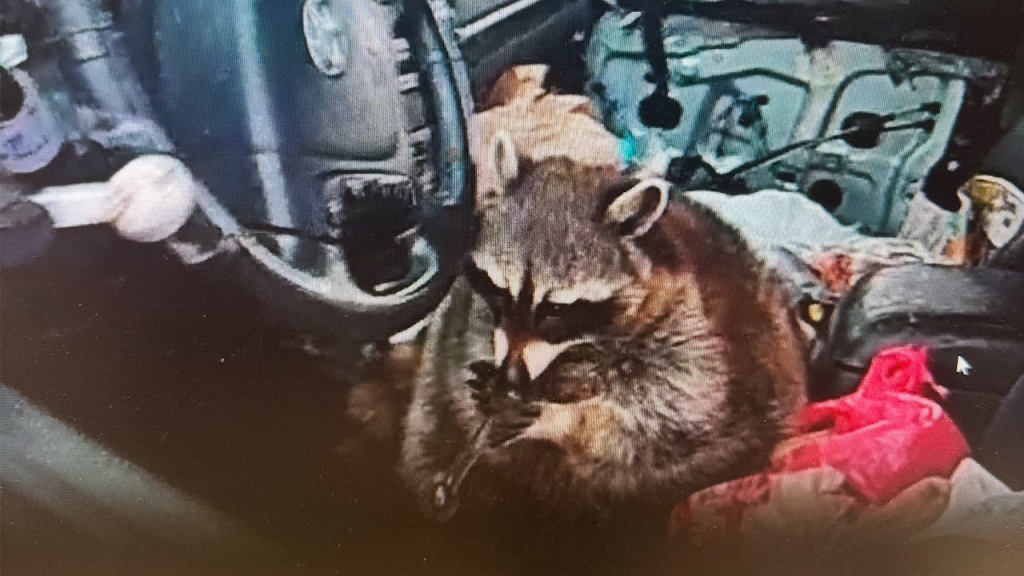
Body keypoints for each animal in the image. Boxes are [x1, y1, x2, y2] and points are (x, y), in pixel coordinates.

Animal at [399, 132, 807, 518]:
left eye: (555, 309)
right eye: (500, 290)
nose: (512, 379)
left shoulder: (694, 334)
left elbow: (662, 419)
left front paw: (558, 414)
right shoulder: (472, 313)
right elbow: (466, 348)